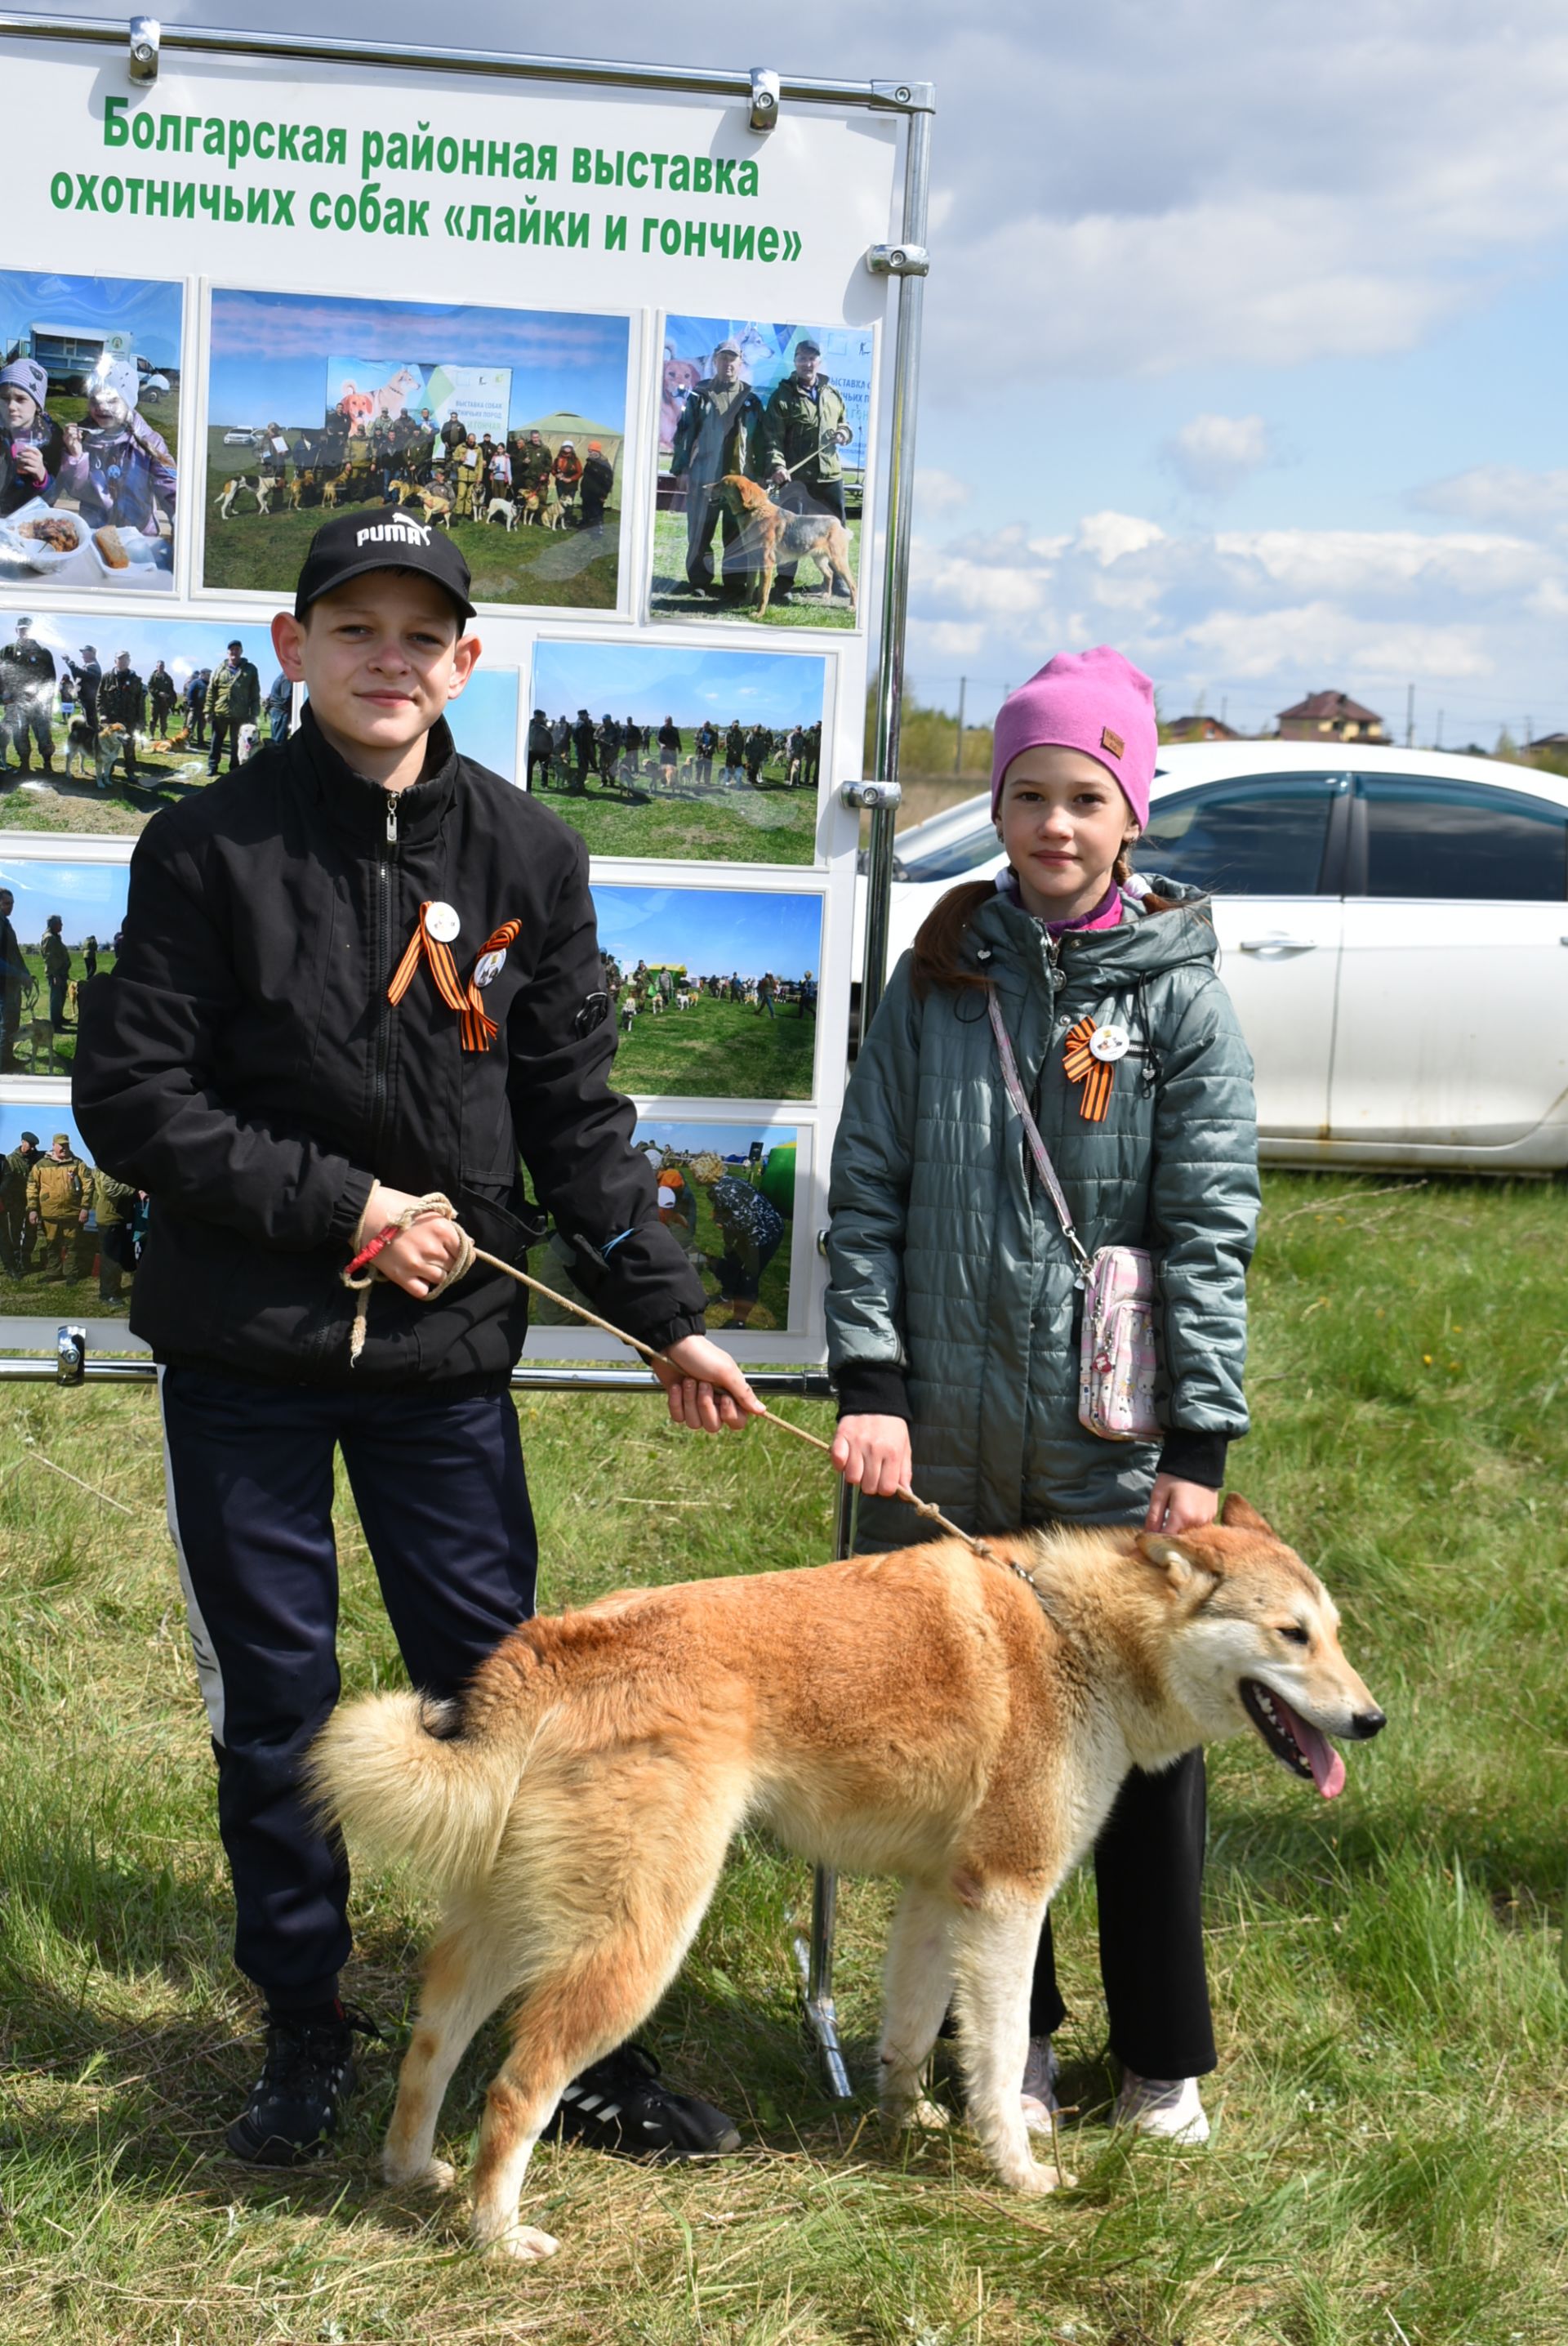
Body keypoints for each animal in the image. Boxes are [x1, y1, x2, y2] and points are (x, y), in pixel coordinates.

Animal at [311, 1501, 1378, 2252]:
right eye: (1291, 1635)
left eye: (1333, 1631)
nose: (1371, 1720)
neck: (1076, 1631)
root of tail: (551, 1649)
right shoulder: (1009, 1899)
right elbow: (997, 2061)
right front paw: (1019, 2173)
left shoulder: (939, 1895)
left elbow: (911, 2029)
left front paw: (906, 2121)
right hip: (636, 1945)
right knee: (514, 2090)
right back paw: (498, 2235)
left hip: (502, 1929)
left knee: (430, 2050)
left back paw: (411, 2174)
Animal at [712, 471, 858, 619]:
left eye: (723, 484)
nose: (705, 487)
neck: (756, 509)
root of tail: (838, 524)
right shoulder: (752, 560)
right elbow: (750, 586)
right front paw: (746, 603)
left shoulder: (767, 564)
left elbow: (763, 593)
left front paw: (759, 614)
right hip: (819, 560)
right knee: (829, 574)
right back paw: (826, 594)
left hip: (838, 561)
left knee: (853, 584)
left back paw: (852, 607)